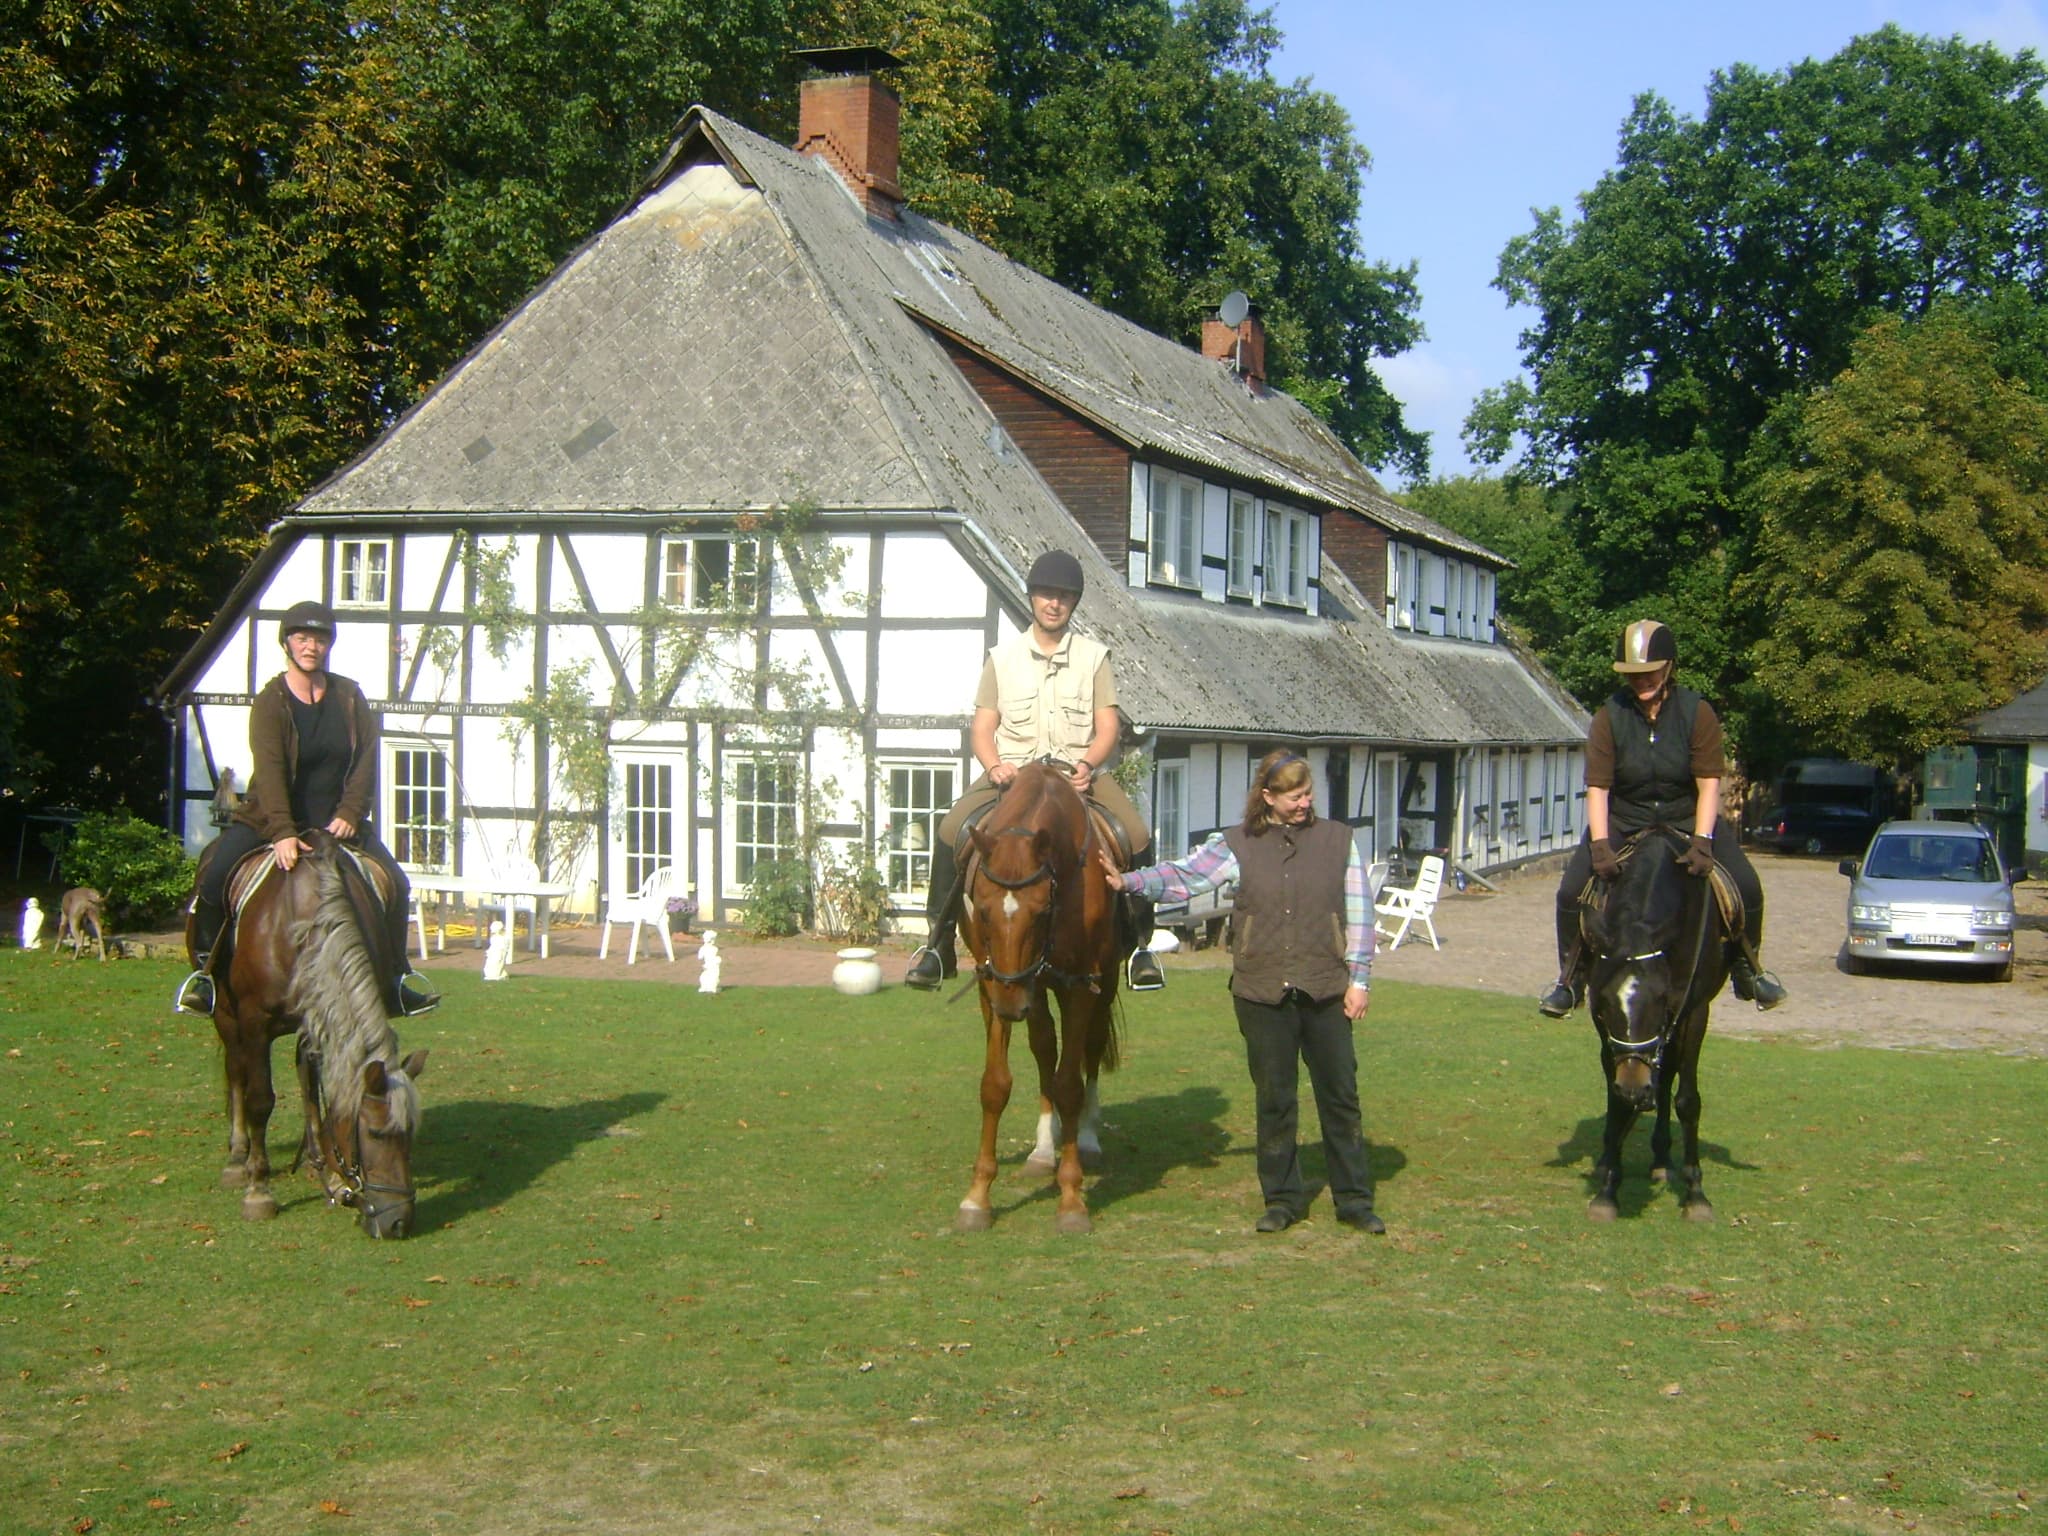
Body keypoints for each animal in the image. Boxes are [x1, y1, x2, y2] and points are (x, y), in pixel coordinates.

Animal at [192, 835, 432, 1245]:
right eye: (374, 1134)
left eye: (410, 1134)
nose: (399, 1223)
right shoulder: (254, 1024)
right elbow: (261, 1101)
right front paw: (259, 1190)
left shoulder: (319, 1019)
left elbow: (317, 1098)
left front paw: (333, 1177)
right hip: (225, 1014)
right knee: (236, 1073)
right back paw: (238, 1158)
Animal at [954, 761, 1130, 1236]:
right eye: (982, 909)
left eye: (1042, 911)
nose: (1011, 1007)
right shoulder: (991, 985)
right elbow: (995, 1085)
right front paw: (977, 1198)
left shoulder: (1079, 986)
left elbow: (1069, 1085)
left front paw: (1071, 1201)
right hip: (1032, 989)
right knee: (1044, 1048)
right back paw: (1041, 1151)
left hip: (1097, 984)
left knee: (1088, 1052)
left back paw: (1085, 1140)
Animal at [1581, 831, 1728, 1228]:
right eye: (1606, 1002)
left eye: (1660, 998)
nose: (1634, 1087)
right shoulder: (1603, 1025)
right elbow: (1616, 1100)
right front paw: (1607, 1190)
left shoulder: (1693, 1012)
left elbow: (1688, 1101)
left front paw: (1696, 1195)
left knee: (1666, 1080)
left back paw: (1663, 1159)